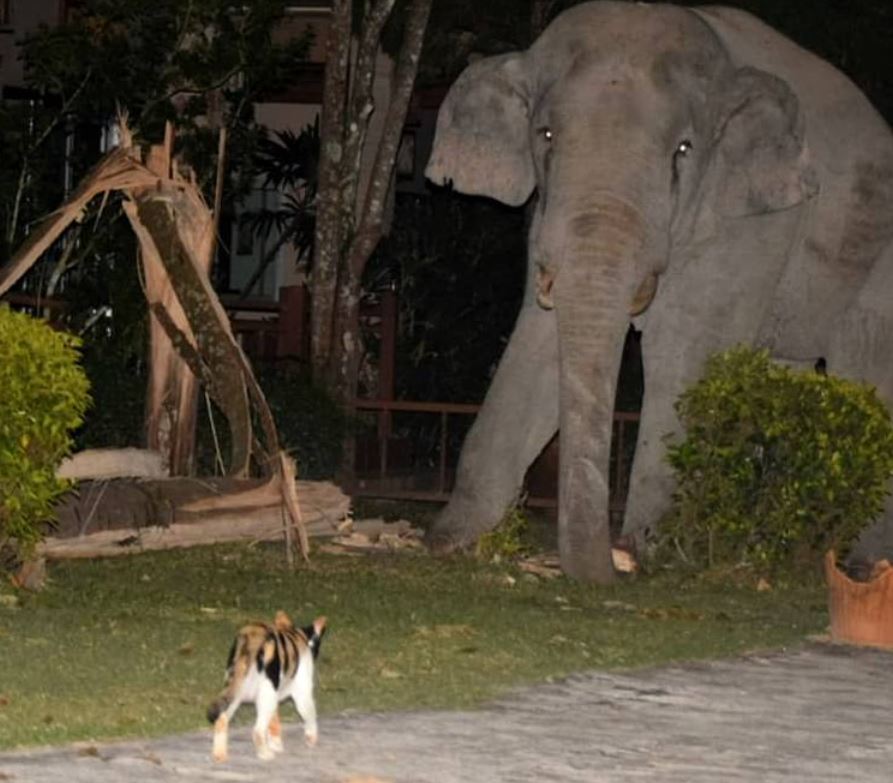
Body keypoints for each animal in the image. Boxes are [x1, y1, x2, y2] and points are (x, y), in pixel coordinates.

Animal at [207, 608, 326, 764]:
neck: (297, 635)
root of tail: (252, 637)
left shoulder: (273, 698)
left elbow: (274, 724)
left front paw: (276, 745)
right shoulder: (302, 693)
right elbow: (310, 715)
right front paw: (311, 738)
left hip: (236, 693)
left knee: (221, 720)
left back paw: (219, 755)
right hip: (266, 695)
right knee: (257, 730)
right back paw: (264, 754)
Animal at [422, 0, 892, 580]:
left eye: (683, 150)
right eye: (545, 136)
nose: (611, 564)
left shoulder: (751, 224)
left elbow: (681, 354)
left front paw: (653, 552)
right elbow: (538, 342)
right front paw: (451, 539)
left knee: (865, 366)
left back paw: (863, 564)